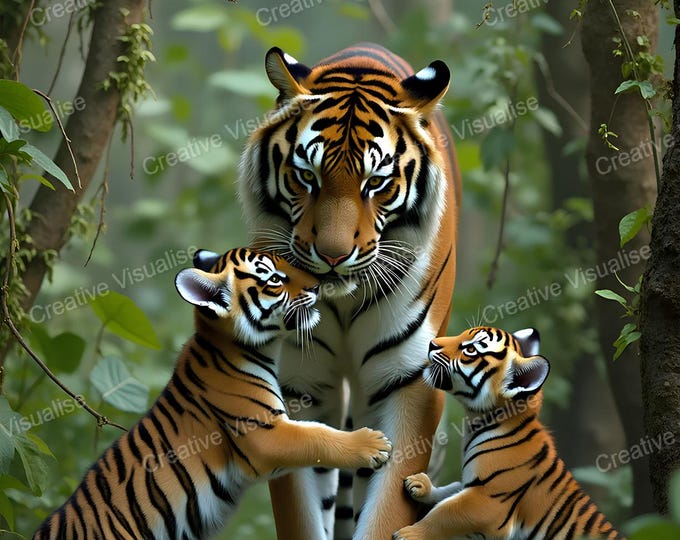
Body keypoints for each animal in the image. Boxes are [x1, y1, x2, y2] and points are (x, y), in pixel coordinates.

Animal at [238, 42, 460, 539]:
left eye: (375, 182)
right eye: (307, 176)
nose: (333, 255)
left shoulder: (406, 379)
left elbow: (386, 506)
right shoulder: (298, 381)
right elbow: (302, 506)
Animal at [393, 326, 625, 540]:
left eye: (470, 350)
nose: (431, 344)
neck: (475, 422)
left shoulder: (489, 501)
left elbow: (446, 513)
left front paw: (409, 534)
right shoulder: (473, 486)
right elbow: (452, 489)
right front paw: (421, 485)